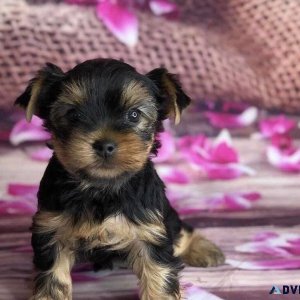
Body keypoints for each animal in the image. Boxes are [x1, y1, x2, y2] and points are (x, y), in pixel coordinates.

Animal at [15, 59, 224, 300]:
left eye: (133, 115)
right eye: (74, 115)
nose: (105, 145)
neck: (101, 187)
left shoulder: (150, 230)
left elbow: (159, 276)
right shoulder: (51, 231)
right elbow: (52, 278)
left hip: (166, 216)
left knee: (180, 230)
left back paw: (204, 249)